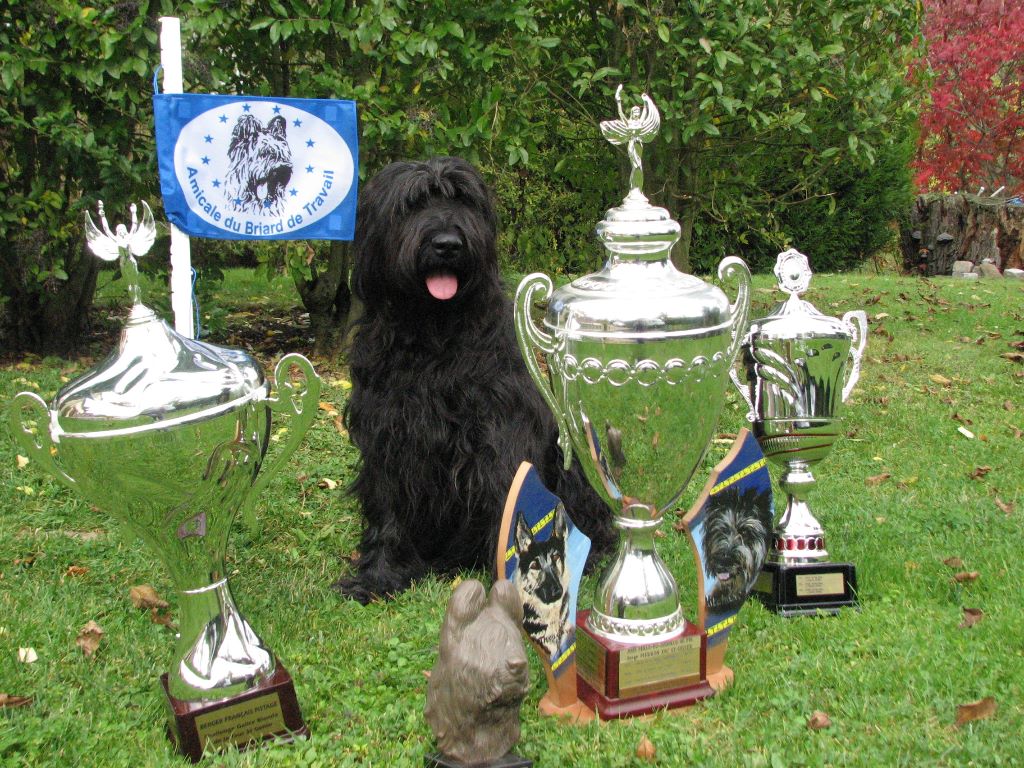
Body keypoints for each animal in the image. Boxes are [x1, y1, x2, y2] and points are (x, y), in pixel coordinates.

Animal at [333, 156, 614, 606]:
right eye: (412, 204)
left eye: (464, 200)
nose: (448, 243)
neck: (434, 332)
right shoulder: (387, 433)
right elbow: (387, 506)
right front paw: (376, 576)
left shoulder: (498, 433)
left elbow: (506, 500)